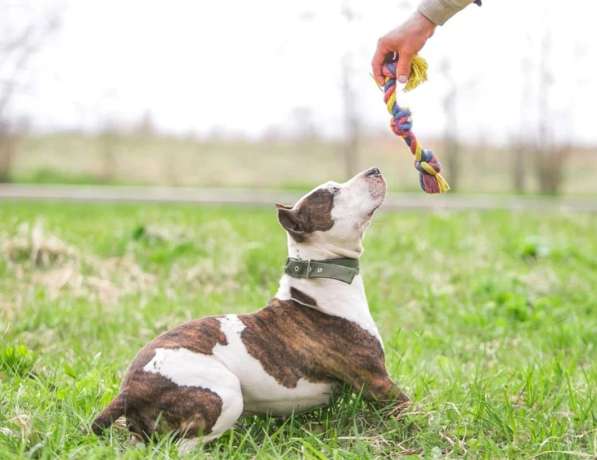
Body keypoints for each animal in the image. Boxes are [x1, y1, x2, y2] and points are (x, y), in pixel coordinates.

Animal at [93, 168, 410, 446]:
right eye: (332, 192)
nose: (374, 170)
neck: (317, 281)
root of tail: (129, 389)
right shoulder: (377, 381)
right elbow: (410, 409)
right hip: (225, 394)